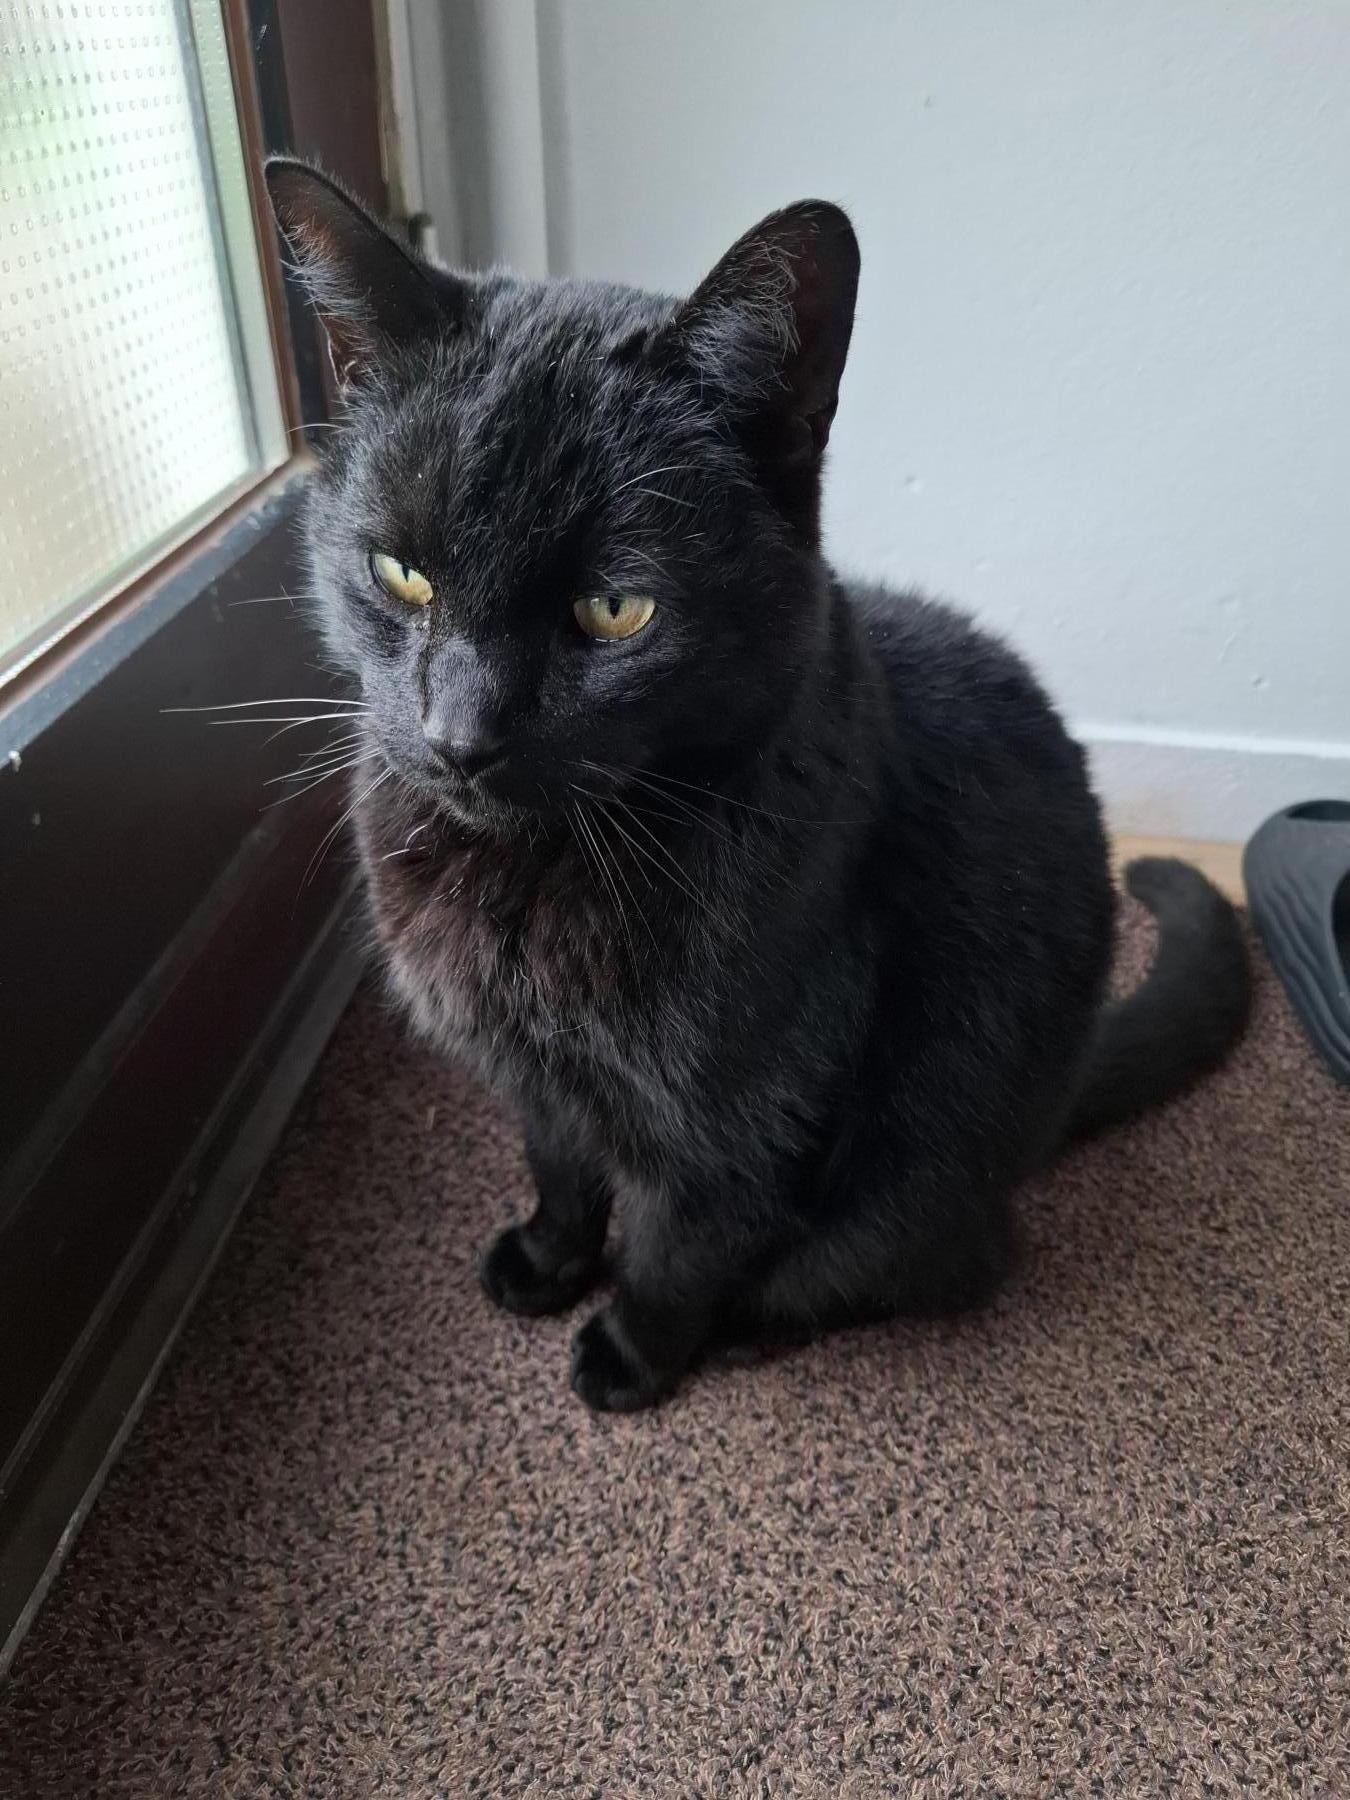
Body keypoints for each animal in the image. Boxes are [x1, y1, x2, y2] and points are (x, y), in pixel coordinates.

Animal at [266, 159, 1251, 1412]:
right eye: (401, 572)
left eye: (615, 608)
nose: (460, 735)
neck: (535, 878)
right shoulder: (538, 1078)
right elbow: (560, 1166)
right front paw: (546, 1261)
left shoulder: (744, 1112)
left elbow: (679, 1245)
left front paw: (631, 1354)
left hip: (916, 1179)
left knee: (930, 1264)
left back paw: (750, 1325)